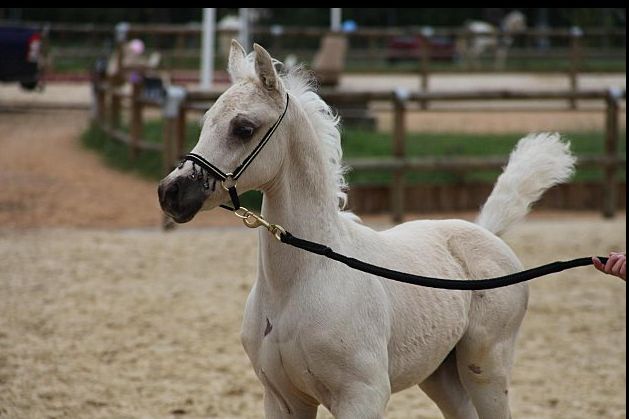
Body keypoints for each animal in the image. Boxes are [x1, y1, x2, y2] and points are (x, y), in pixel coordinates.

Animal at [158, 40, 576, 419]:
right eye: (206, 121)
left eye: (244, 128)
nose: (171, 192)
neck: (302, 282)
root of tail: (488, 234)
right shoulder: (283, 399)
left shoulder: (362, 396)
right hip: (440, 374)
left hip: (485, 368)